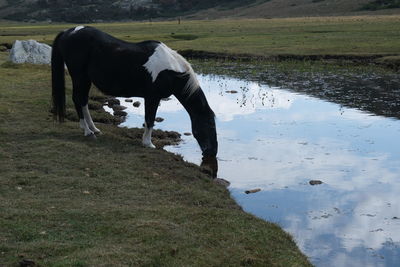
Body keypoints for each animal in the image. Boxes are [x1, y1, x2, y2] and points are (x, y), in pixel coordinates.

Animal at [52, 25, 219, 157]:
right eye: (211, 125)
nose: (212, 152)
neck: (169, 70)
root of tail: (68, 32)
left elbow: (149, 119)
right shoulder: (152, 97)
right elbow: (150, 120)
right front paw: (148, 143)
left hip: (86, 79)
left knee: (83, 101)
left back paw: (94, 128)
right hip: (79, 77)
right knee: (77, 99)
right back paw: (87, 131)